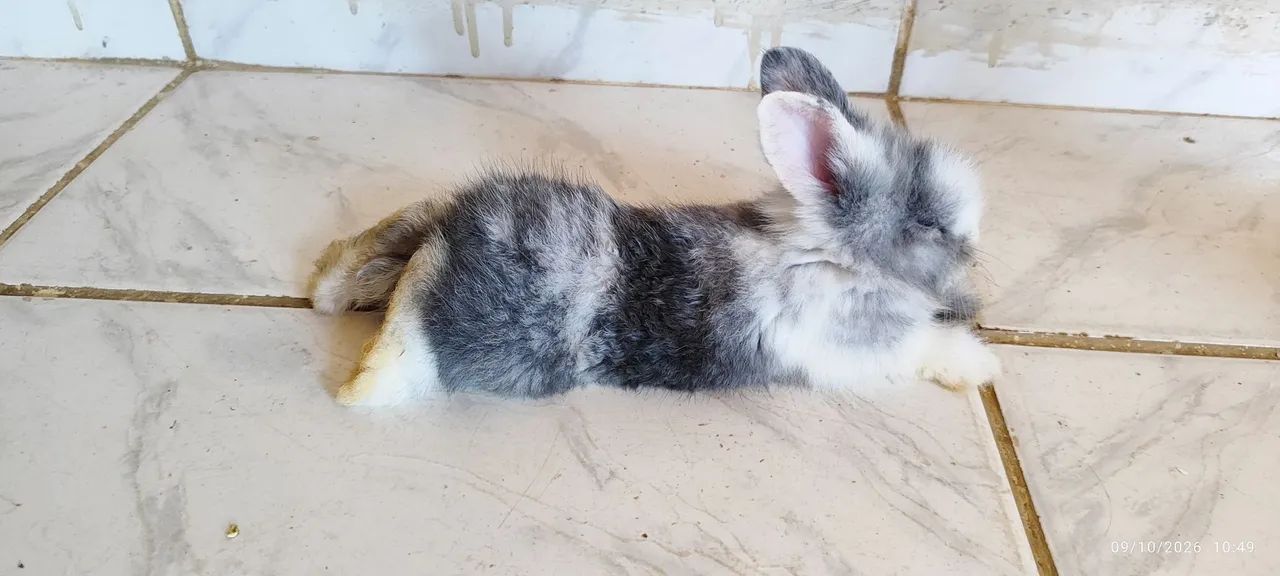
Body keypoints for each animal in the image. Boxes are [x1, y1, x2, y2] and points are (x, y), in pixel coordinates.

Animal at [309, 46, 1001, 407]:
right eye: (930, 223)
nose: (973, 251)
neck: (827, 252)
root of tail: (447, 237)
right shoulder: (858, 349)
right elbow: (921, 347)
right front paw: (981, 365)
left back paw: (329, 289)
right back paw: (366, 383)